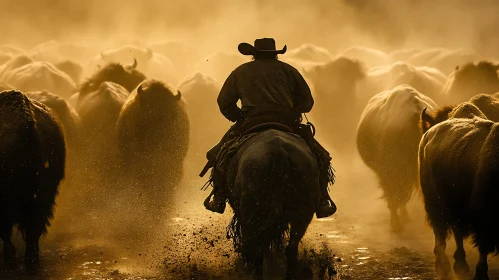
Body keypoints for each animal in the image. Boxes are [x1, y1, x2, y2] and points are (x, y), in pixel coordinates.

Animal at [420, 107, 498, 280]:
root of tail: (427, 135)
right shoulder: (484, 219)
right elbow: (483, 246)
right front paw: (480, 275)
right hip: (434, 202)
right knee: (440, 232)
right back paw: (444, 265)